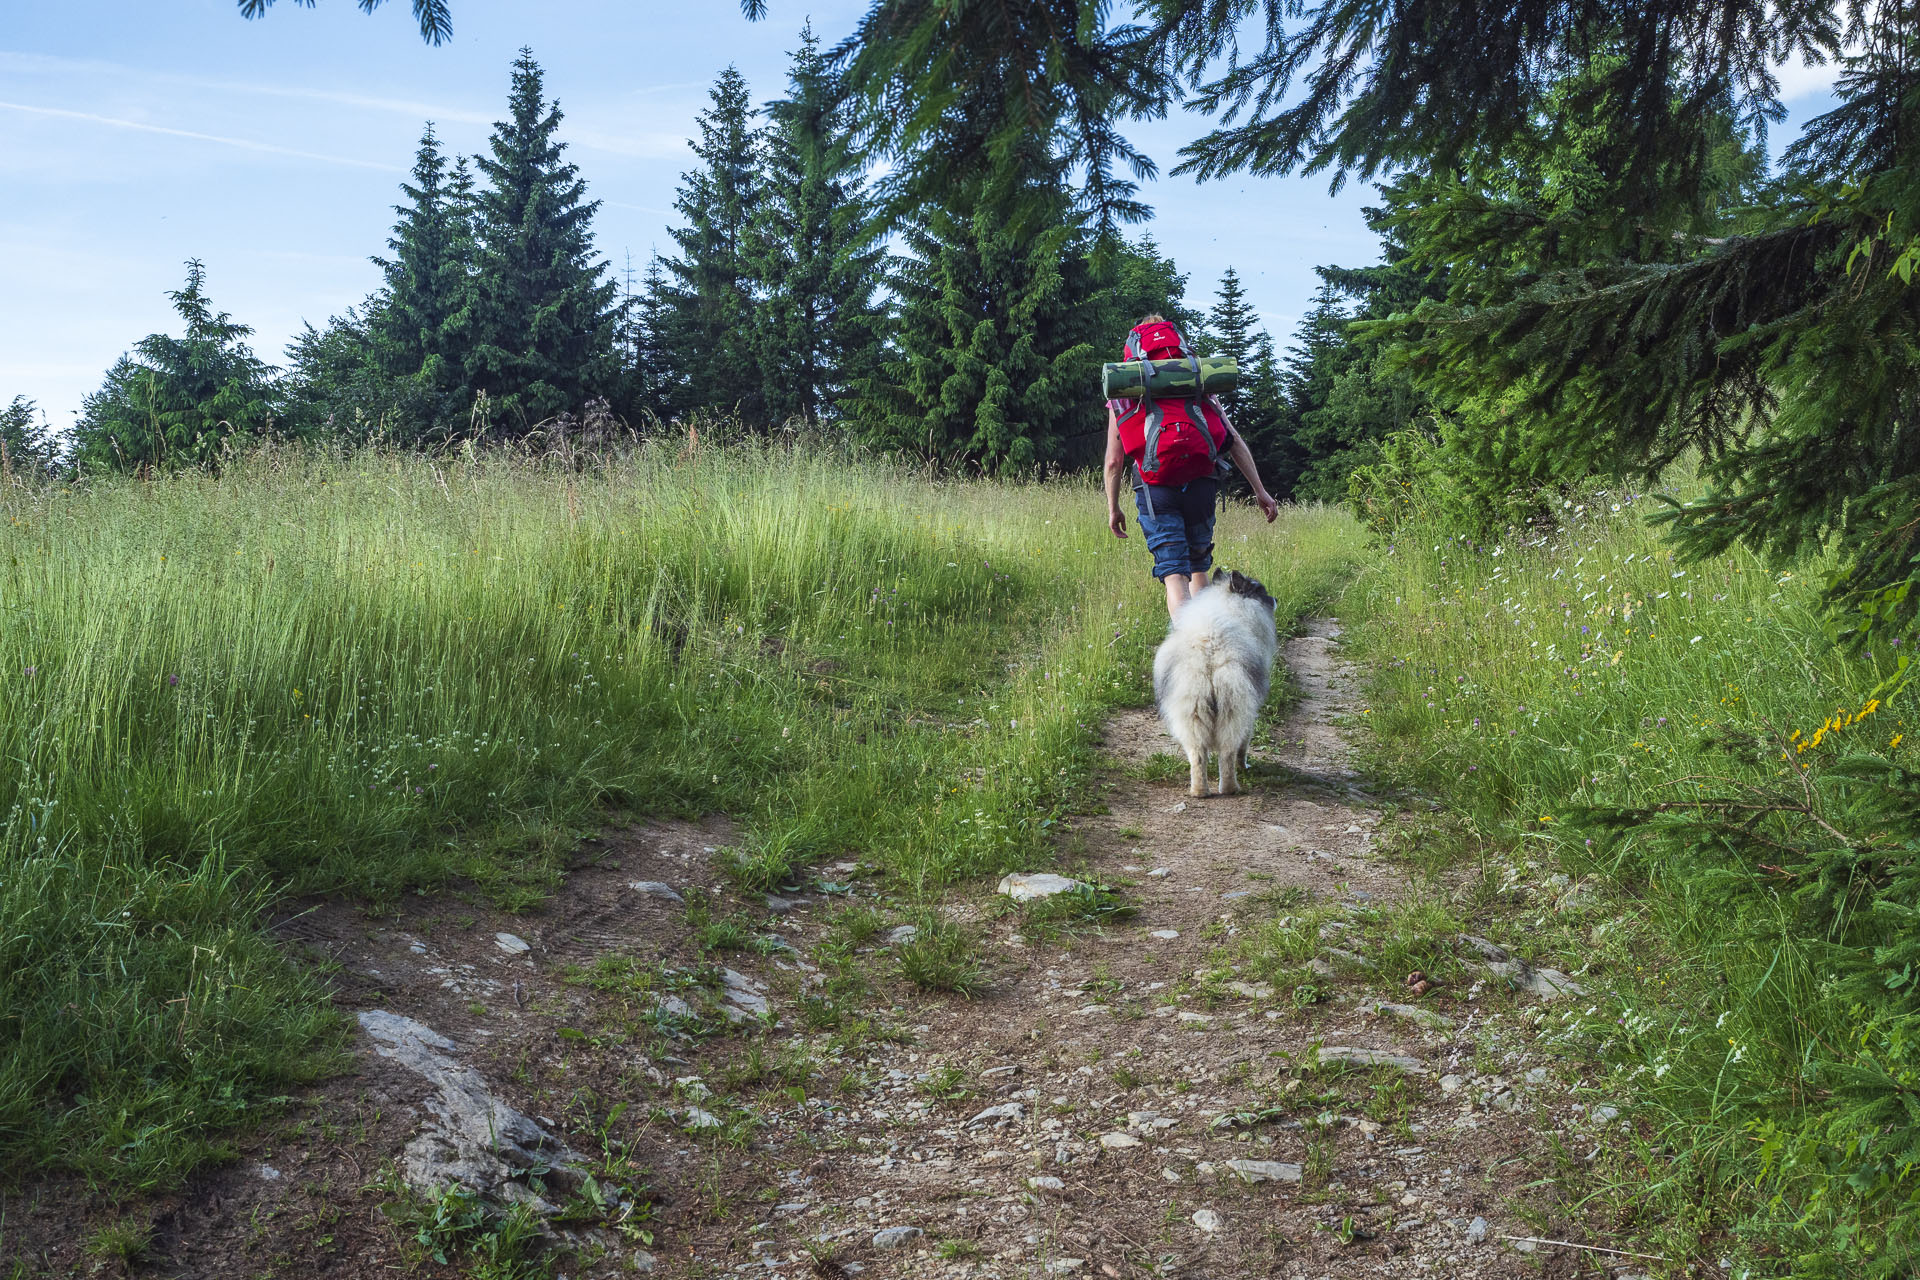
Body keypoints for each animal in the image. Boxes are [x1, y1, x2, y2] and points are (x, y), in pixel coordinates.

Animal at [1152, 568, 1274, 794]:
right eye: (1260, 591)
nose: (1275, 599)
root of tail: (1209, 658)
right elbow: (1244, 744)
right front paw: (1245, 766)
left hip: (1193, 711)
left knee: (1199, 755)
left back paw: (1200, 791)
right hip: (1235, 709)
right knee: (1228, 753)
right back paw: (1230, 788)